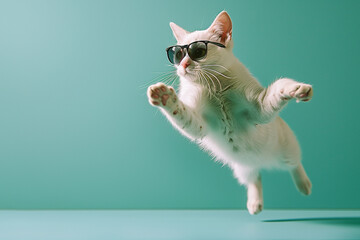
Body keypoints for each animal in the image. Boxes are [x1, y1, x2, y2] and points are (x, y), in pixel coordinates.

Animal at [146, 10, 312, 214]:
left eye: (198, 52)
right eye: (177, 54)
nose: (183, 64)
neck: (214, 87)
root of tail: (263, 160)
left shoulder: (259, 110)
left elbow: (279, 87)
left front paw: (295, 88)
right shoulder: (201, 126)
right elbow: (183, 115)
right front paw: (165, 98)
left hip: (287, 150)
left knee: (295, 164)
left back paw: (304, 185)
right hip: (243, 169)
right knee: (254, 178)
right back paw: (255, 204)